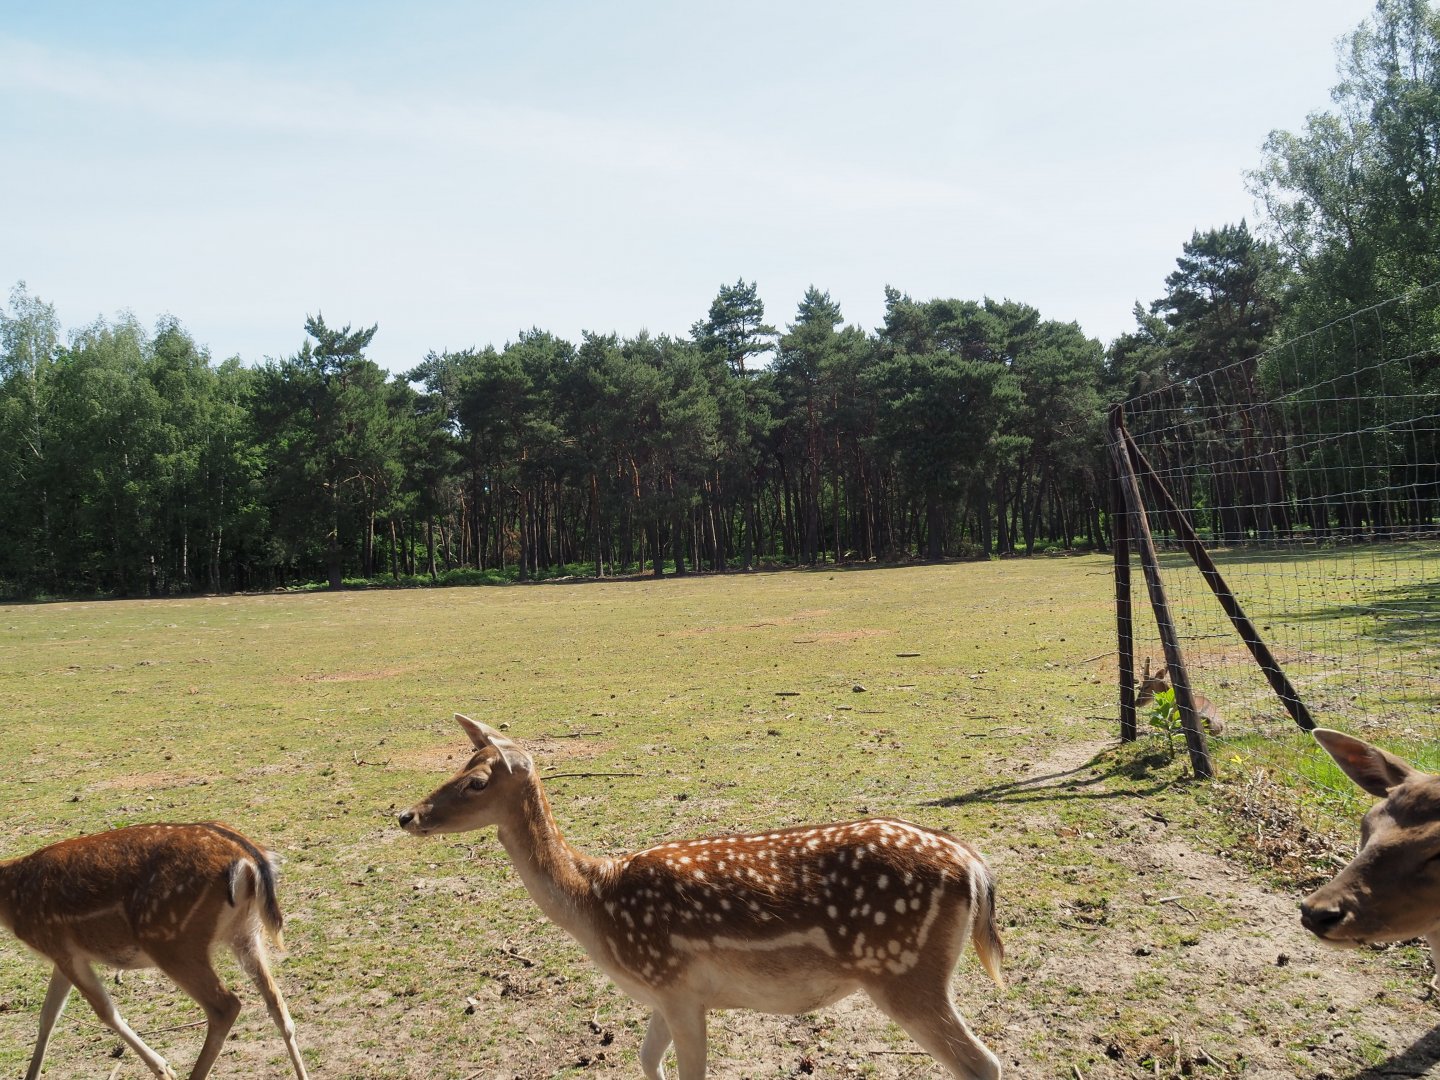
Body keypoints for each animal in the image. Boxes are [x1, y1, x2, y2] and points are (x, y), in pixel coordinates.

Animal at [0, 822, 309, 1080]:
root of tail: (248, 860)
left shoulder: (61, 948)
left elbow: (104, 1011)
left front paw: (164, 1070)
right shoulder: (62, 956)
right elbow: (47, 1017)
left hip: (172, 942)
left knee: (226, 1005)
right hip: (246, 933)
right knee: (278, 1005)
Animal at [398, 714, 1006, 1079]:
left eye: (477, 782)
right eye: (458, 765)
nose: (406, 815)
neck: (596, 906)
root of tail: (975, 866)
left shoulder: (676, 984)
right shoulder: (664, 993)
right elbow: (647, 1060)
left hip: (904, 971)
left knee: (982, 1064)